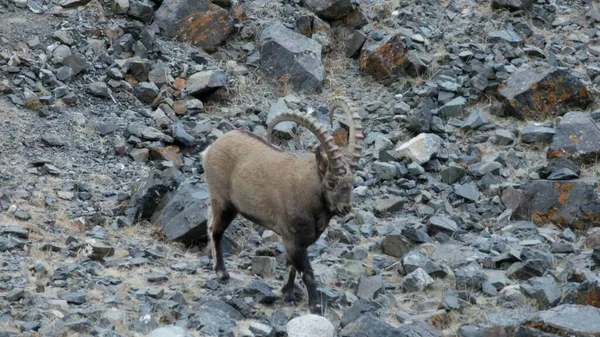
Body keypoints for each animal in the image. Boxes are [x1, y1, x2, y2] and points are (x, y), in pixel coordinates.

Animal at [199, 96, 364, 314]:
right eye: (330, 182)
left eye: (352, 182)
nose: (345, 208)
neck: (308, 192)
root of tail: (210, 150)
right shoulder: (292, 238)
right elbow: (307, 272)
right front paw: (315, 306)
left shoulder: (297, 241)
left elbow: (290, 266)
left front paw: (287, 295)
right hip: (224, 203)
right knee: (215, 231)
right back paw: (221, 274)